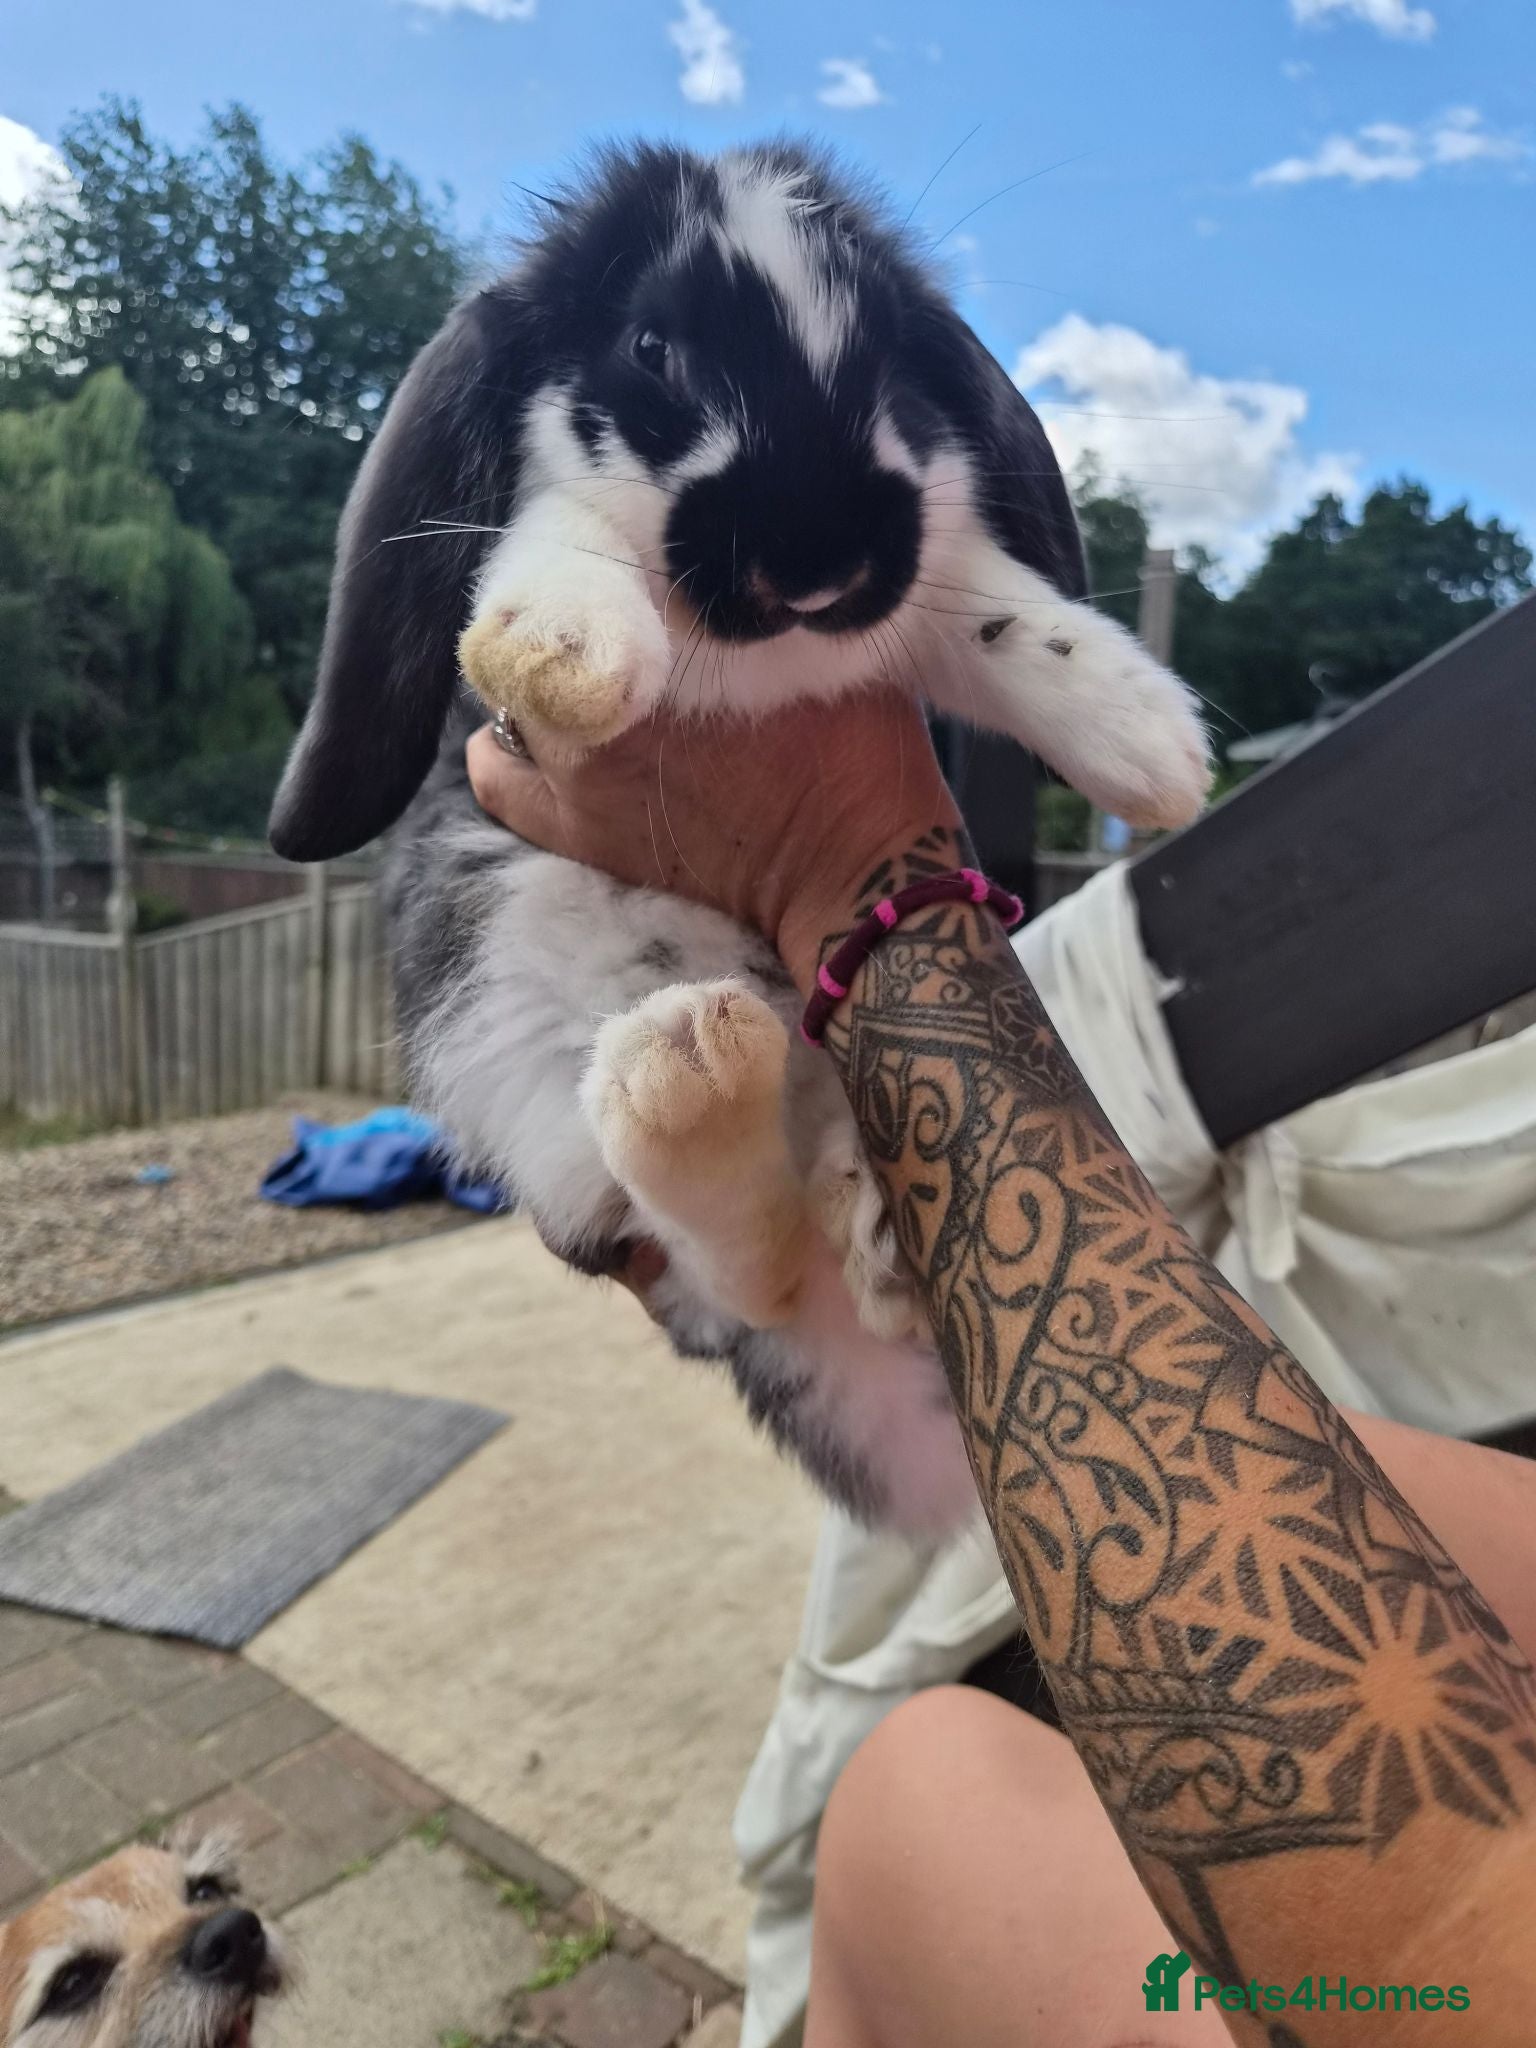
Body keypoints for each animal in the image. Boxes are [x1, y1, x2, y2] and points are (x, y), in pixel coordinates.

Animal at [269, 140, 1210, 1537]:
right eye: (652, 346)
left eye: (884, 359)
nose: (818, 558)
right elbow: (554, 535)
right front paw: (563, 650)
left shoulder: (928, 577)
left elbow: (990, 602)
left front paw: (1154, 743)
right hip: (524, 1051)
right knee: (729, 1262)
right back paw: (693, 1080)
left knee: (790, 1248)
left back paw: (870, 1227)